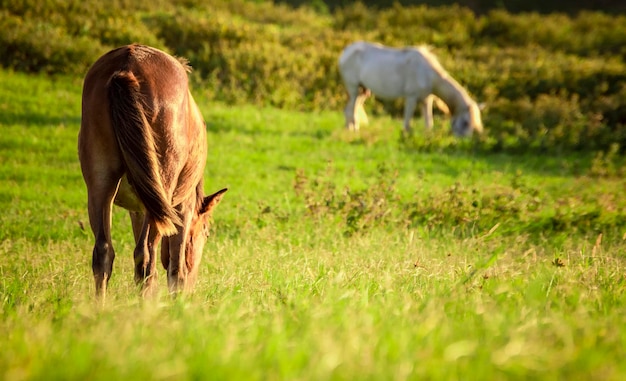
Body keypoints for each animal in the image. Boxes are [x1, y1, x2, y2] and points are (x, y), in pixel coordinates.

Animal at [77, 44, 225, 298]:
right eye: (205, 232)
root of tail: (128, 65)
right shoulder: (182, 209)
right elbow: (176, 269)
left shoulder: (138, 209)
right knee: (146, 257)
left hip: (100, 187)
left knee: (104, 253)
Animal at [338, 41, 480, 137]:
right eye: (466, 122)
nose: (464, 142)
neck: (428, 73)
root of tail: (346, 51)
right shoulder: (411, 97)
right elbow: (407, 122)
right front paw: (405, 136)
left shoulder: (426, 100)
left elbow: (429, 122)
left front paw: (428, 136)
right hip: (353, 88)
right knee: (351, 109)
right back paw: (354, 130)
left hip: (363, 91)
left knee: (351, 108)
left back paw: (349, 129)